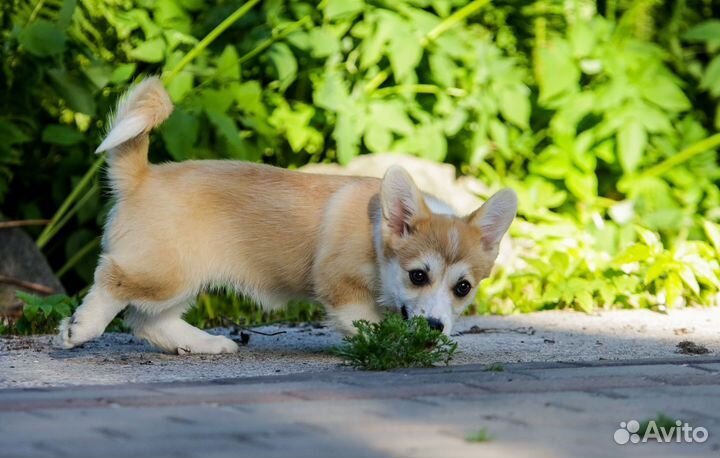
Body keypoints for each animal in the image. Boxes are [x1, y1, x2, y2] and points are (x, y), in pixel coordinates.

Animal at [56, 78, 516, 354]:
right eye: (418, 275)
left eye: (462, 287)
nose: (436, 328)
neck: (375, 234)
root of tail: (142, 176)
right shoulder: (341, 287)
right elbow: (369, 324)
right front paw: (394, 342)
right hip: (164, 271)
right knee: (113, 281)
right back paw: (80, 329)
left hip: (183, 277)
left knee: (149, 321)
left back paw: (205, 344)